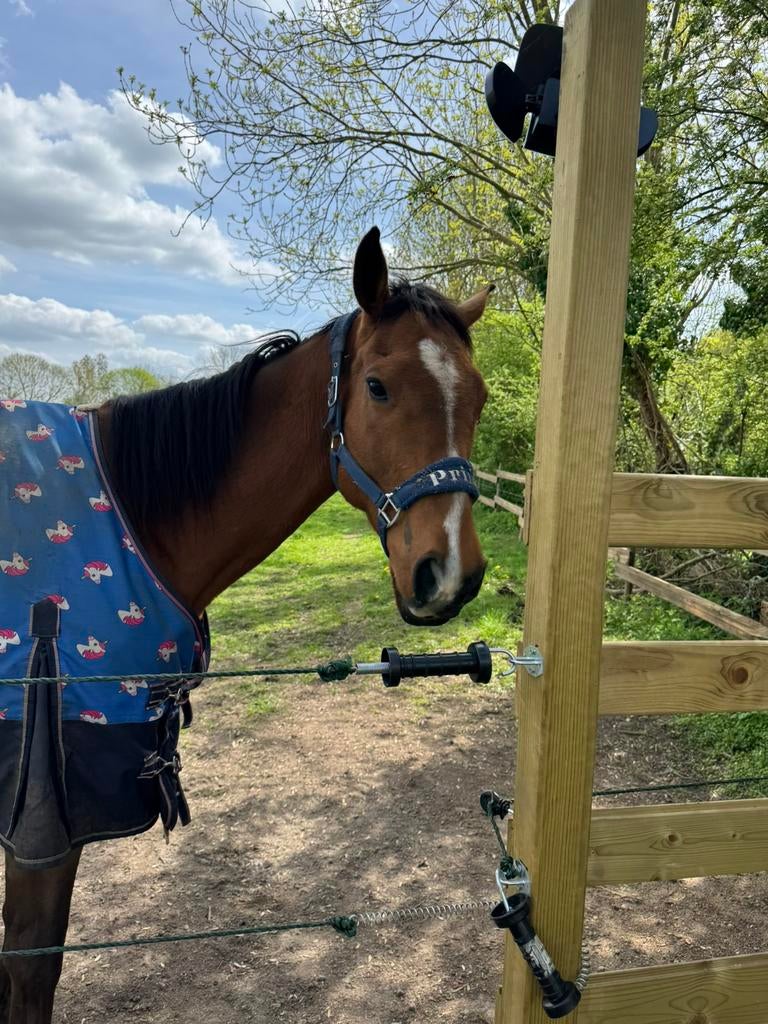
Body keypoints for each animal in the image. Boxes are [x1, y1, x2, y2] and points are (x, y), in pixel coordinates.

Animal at [0, 226, 491, 1023]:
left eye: (478, 397)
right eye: (378, 387)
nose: (448, 574)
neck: (133, 518)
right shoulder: (42, 817)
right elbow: (30, 967)